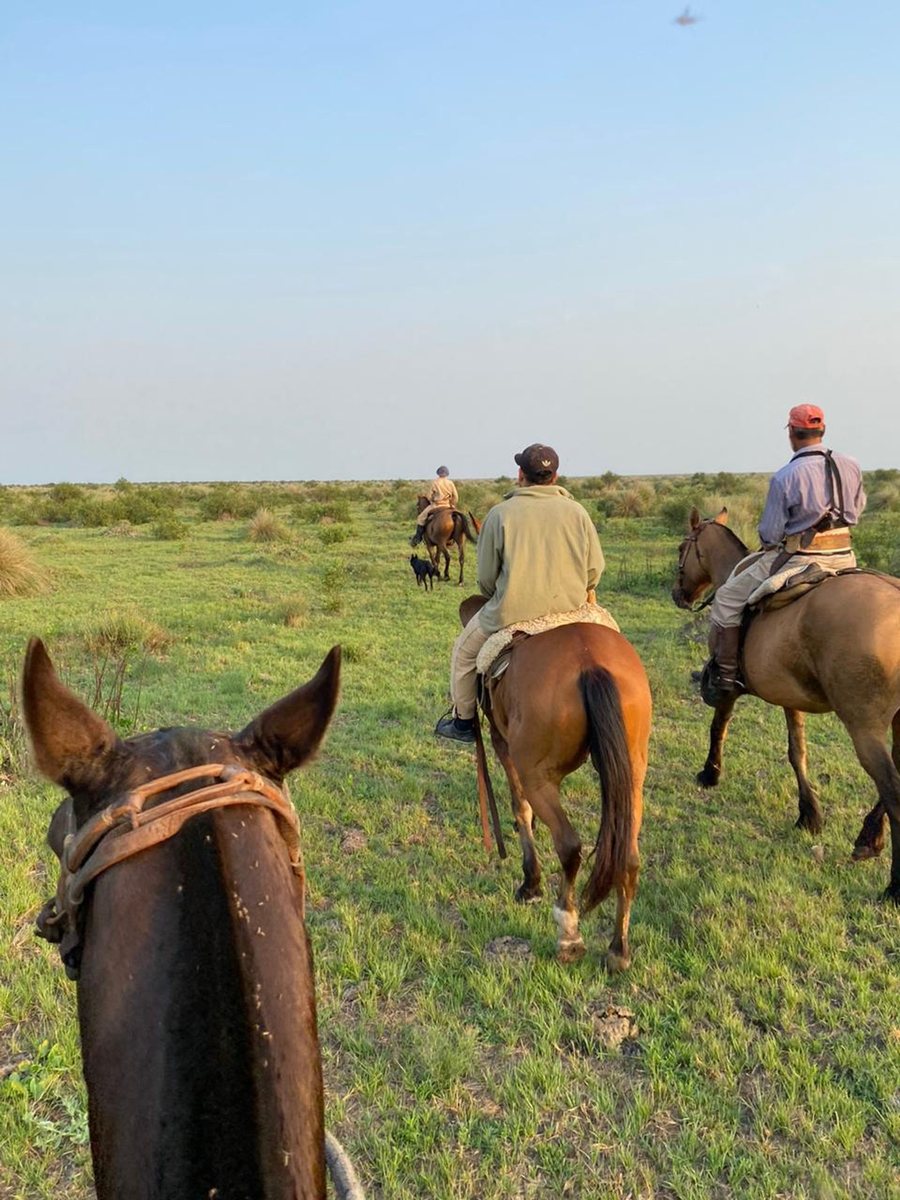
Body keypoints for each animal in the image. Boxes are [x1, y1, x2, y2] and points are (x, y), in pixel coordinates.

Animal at [460, 595, 652, 969]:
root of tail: (590, 663)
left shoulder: (502, 744)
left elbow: (519, 807)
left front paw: (530, 883)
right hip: (632, 776)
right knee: (629, 855)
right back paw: (618, 949)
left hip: (538, 775)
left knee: (568, 845)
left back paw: (569, 933)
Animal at [672, 506, 900, 902]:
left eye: (682, 549)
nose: (677, 594)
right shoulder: (790, 696)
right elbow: (798, 751)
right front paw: (809, 814)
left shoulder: (729, 689)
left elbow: (718, 726)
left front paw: (710, 773)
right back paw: (868, 838)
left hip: (865, 728)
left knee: (893, 791)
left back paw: (894, 884)